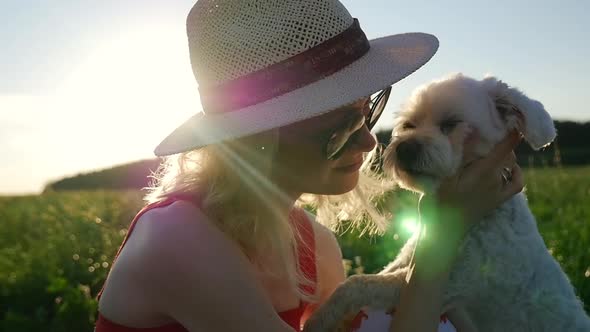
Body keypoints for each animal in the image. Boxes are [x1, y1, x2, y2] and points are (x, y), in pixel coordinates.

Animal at [306, 74, 590, 330]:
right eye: (409, 124)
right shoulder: (408, 261)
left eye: (451, 123)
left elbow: (356, 284)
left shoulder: (444, 283)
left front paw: (319, 318)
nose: (405, 148)